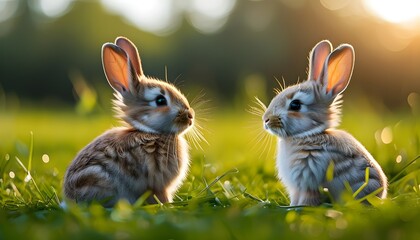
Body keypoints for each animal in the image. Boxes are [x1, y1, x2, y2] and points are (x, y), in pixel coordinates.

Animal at [262, 40, 388, 205]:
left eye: (295, 105)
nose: (266, 119)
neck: (309, 134)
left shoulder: (309, 184)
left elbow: (307, 199)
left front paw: (299, 208)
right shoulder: (297, 188)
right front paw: (291, 206)